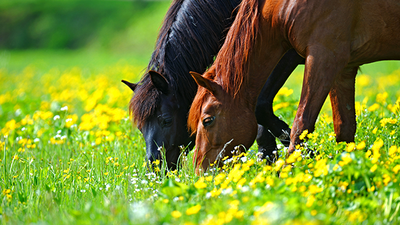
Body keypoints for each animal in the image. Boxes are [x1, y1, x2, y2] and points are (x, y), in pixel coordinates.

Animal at [188, 0, 400, 173]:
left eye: (207, 120)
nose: (199, 172)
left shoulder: (324, 56)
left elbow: (301, 125)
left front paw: (288, 174)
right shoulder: (343, 69)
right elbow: (344, 129)